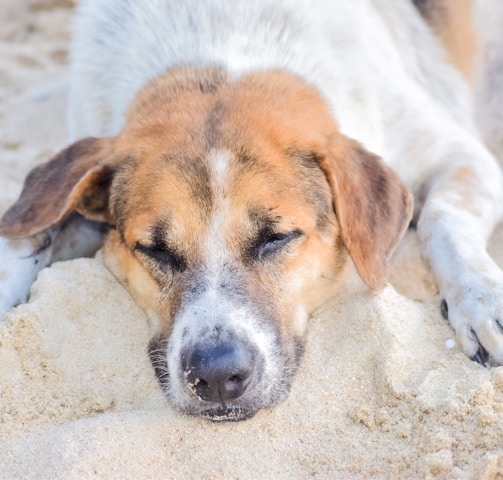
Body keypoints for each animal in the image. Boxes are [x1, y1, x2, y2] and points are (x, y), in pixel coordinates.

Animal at [0, 0, 503, 420]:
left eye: (277, 237)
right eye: (154, 250)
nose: (216, 376)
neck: (222, 45)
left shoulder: (459, 154)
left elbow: (444, 217)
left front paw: (482, 301)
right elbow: (29, 233)